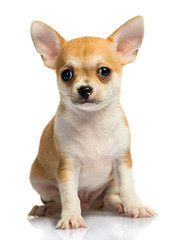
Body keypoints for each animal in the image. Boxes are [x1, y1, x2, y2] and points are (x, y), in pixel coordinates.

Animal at [28, 15, 156, 230]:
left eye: (104, 71)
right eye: (66, 74)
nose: (84, 89)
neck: (93, 122)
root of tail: (90, 203)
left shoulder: (122, 162)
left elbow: (128, 187)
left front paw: (135, 207)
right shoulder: (68, 167)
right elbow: (69, 196)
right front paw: (71, 217)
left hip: (111, 183)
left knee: (109, 197)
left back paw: (119, 205)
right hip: (37, 179)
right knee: (57, 200)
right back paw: (44, 209)